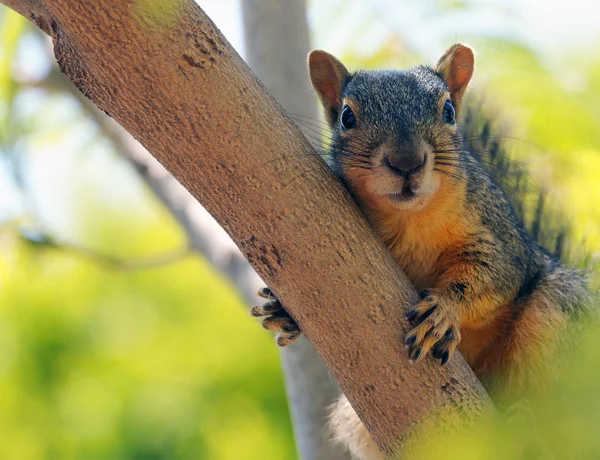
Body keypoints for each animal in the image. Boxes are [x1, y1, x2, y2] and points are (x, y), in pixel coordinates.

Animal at [250, 44, 592, 460]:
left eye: (448, 112)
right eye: (347, 117)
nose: (407, 163)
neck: (407, 219)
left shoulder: (498, 235)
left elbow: (494, 275)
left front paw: (443, 310)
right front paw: (280, 310)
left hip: (564, 320)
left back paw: (529, 432)